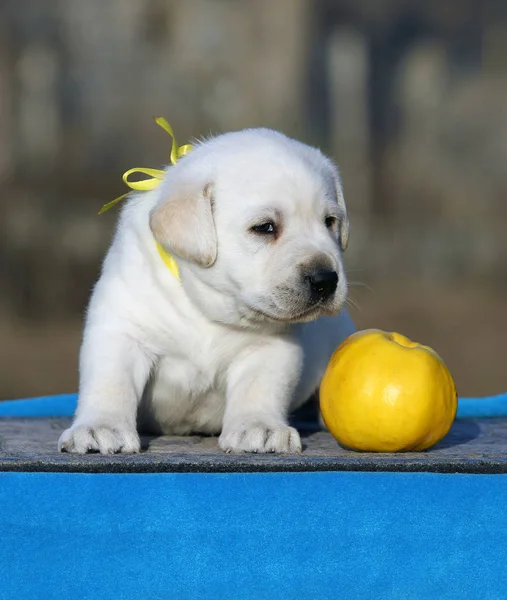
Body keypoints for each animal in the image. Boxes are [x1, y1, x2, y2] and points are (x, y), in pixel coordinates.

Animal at [57, 127, 356, 454]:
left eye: (330, 222)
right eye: (265, 227)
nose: (326, 279)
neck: (205, 307)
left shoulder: (271, 347)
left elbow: (260, 388)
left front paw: (259, 427)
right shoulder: (121, 331)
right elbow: (110, 383)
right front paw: (100, 427)